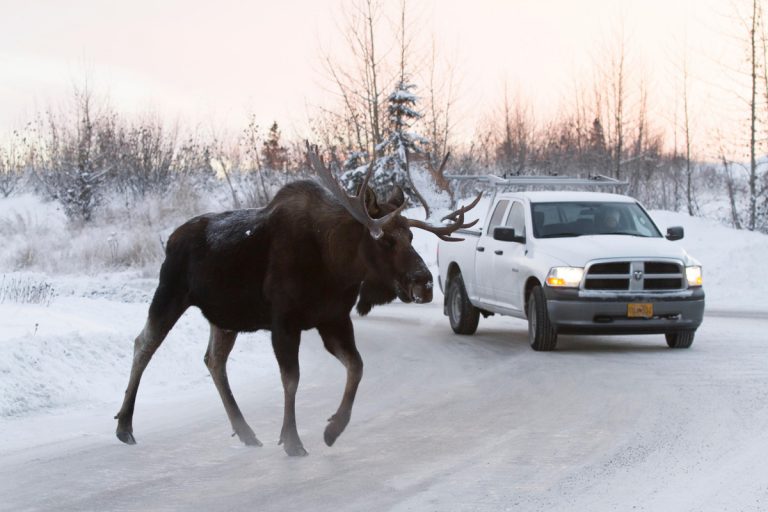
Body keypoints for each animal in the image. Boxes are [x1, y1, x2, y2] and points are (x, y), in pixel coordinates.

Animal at [115, 149, 480, 456]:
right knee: (144, 343)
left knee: (213, 360)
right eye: (386, 239)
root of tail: (170, 239)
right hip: (170, 292)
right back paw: (124, 426)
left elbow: (357, 367)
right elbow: (292, 379)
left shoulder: (333, 319)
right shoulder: (284, 321)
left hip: (224, 317)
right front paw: (292, 440)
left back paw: (246, 432)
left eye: (411, 236)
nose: (425, 282)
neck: (336, 268)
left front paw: (333, 429)